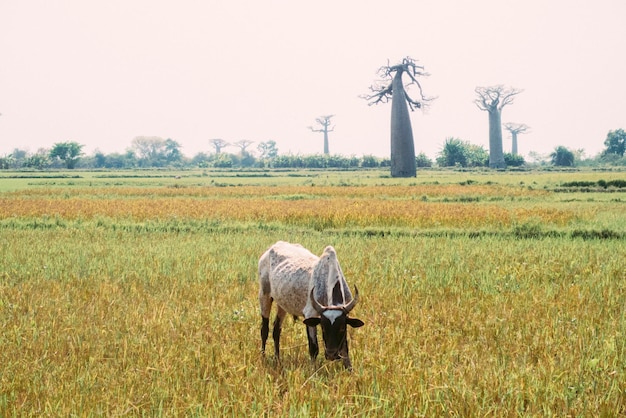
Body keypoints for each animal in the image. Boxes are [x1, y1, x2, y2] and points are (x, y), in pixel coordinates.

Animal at [258, 242, 364, 370]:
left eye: (341, 328)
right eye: (323, 327)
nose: (331, 355)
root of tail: (272, 247)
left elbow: (345, 349)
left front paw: (349, 369)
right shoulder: (310, 314)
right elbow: (314, 348)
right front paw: (313, 370)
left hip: (282, 304)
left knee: (276, 331)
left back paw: (277, 359)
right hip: (264, 295)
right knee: (264, 329)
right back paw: (263, 357)